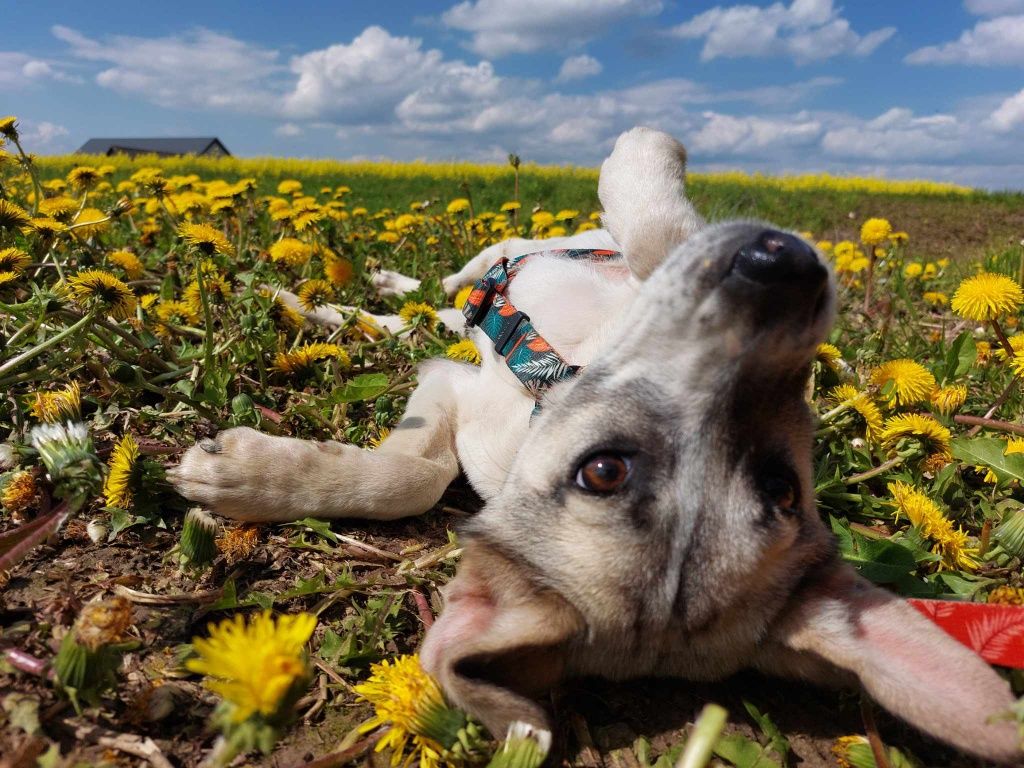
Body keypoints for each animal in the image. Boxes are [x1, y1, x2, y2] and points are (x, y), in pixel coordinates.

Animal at [172, 128, 1019, 765]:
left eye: (781, 487)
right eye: (605, 471)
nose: (788, 271)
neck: (557, 374)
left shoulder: (462, 384)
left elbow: (416, 475)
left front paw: (250, 472)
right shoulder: (470, 381)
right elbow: (658, 235)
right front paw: (262, 476)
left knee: (442, 308)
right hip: (489, 268)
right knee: (448, 285)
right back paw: (329, 296)